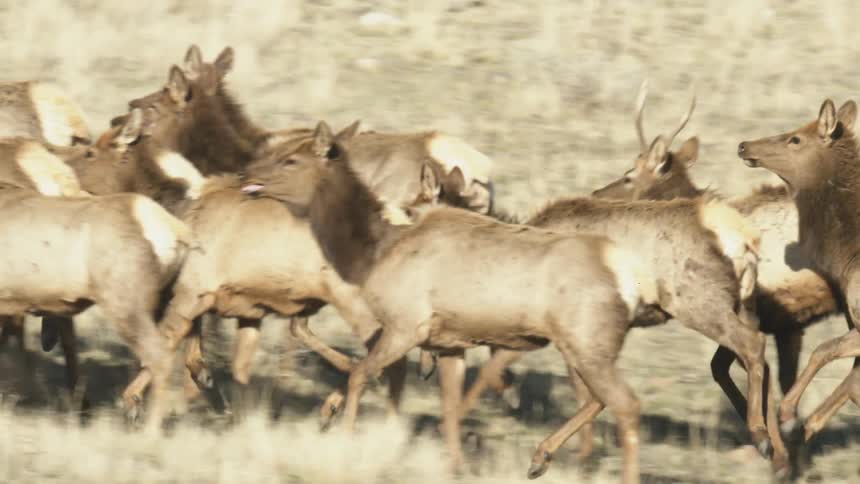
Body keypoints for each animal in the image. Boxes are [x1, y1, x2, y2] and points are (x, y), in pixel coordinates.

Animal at [241, 119, 666, 484]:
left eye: (291, 159)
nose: (247, 174)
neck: (373, 253)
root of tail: (634, 280)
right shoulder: (448, 342)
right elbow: (448, 405)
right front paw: (454, 465)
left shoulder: (406, 324)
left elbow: (362, 373)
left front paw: (343, 436)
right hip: (588, 345)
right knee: (601, 398)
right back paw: (539, 457)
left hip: (587, 341)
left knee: (627, 404)